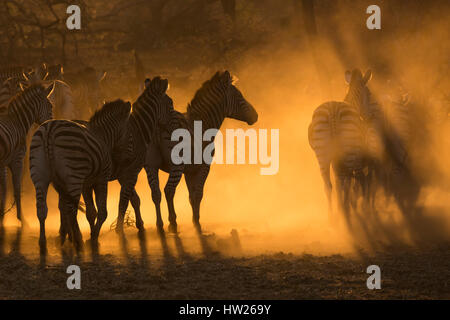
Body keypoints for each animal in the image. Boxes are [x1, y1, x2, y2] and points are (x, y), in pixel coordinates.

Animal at [0, 83, 55, 228]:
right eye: (51, 106)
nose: (51, 124)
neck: (18, 121)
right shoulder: (17, 159)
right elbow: (16, 187)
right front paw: (21, 219)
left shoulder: (4, 162)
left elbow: (4, 188)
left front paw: (2, 215)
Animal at [29, 99, 131, 251]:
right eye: (130, 134)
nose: (128, 160)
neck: (103, 135)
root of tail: (50, 130)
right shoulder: (101, 179)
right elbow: (102, 212)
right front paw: (93, 237)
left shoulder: (85, 184)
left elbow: (90, 212)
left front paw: (75, 235)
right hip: (74, 175)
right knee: (72, 210)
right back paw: (77, 241)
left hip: (40, 175)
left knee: (42, 209)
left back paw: (43, 243)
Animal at [144, 70, 256, 232]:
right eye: (240, 96)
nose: (256, 116)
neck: (204, 123)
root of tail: (159, 123)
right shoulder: (204, 167)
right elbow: (198, 194)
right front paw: (197, 223)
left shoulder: (189, 170)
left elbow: (191, 196)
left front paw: (194, 220)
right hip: (176, 165)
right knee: (169, 190)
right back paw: (173, 223)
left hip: (150, 165)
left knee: (156, 193)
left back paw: (160, 225)